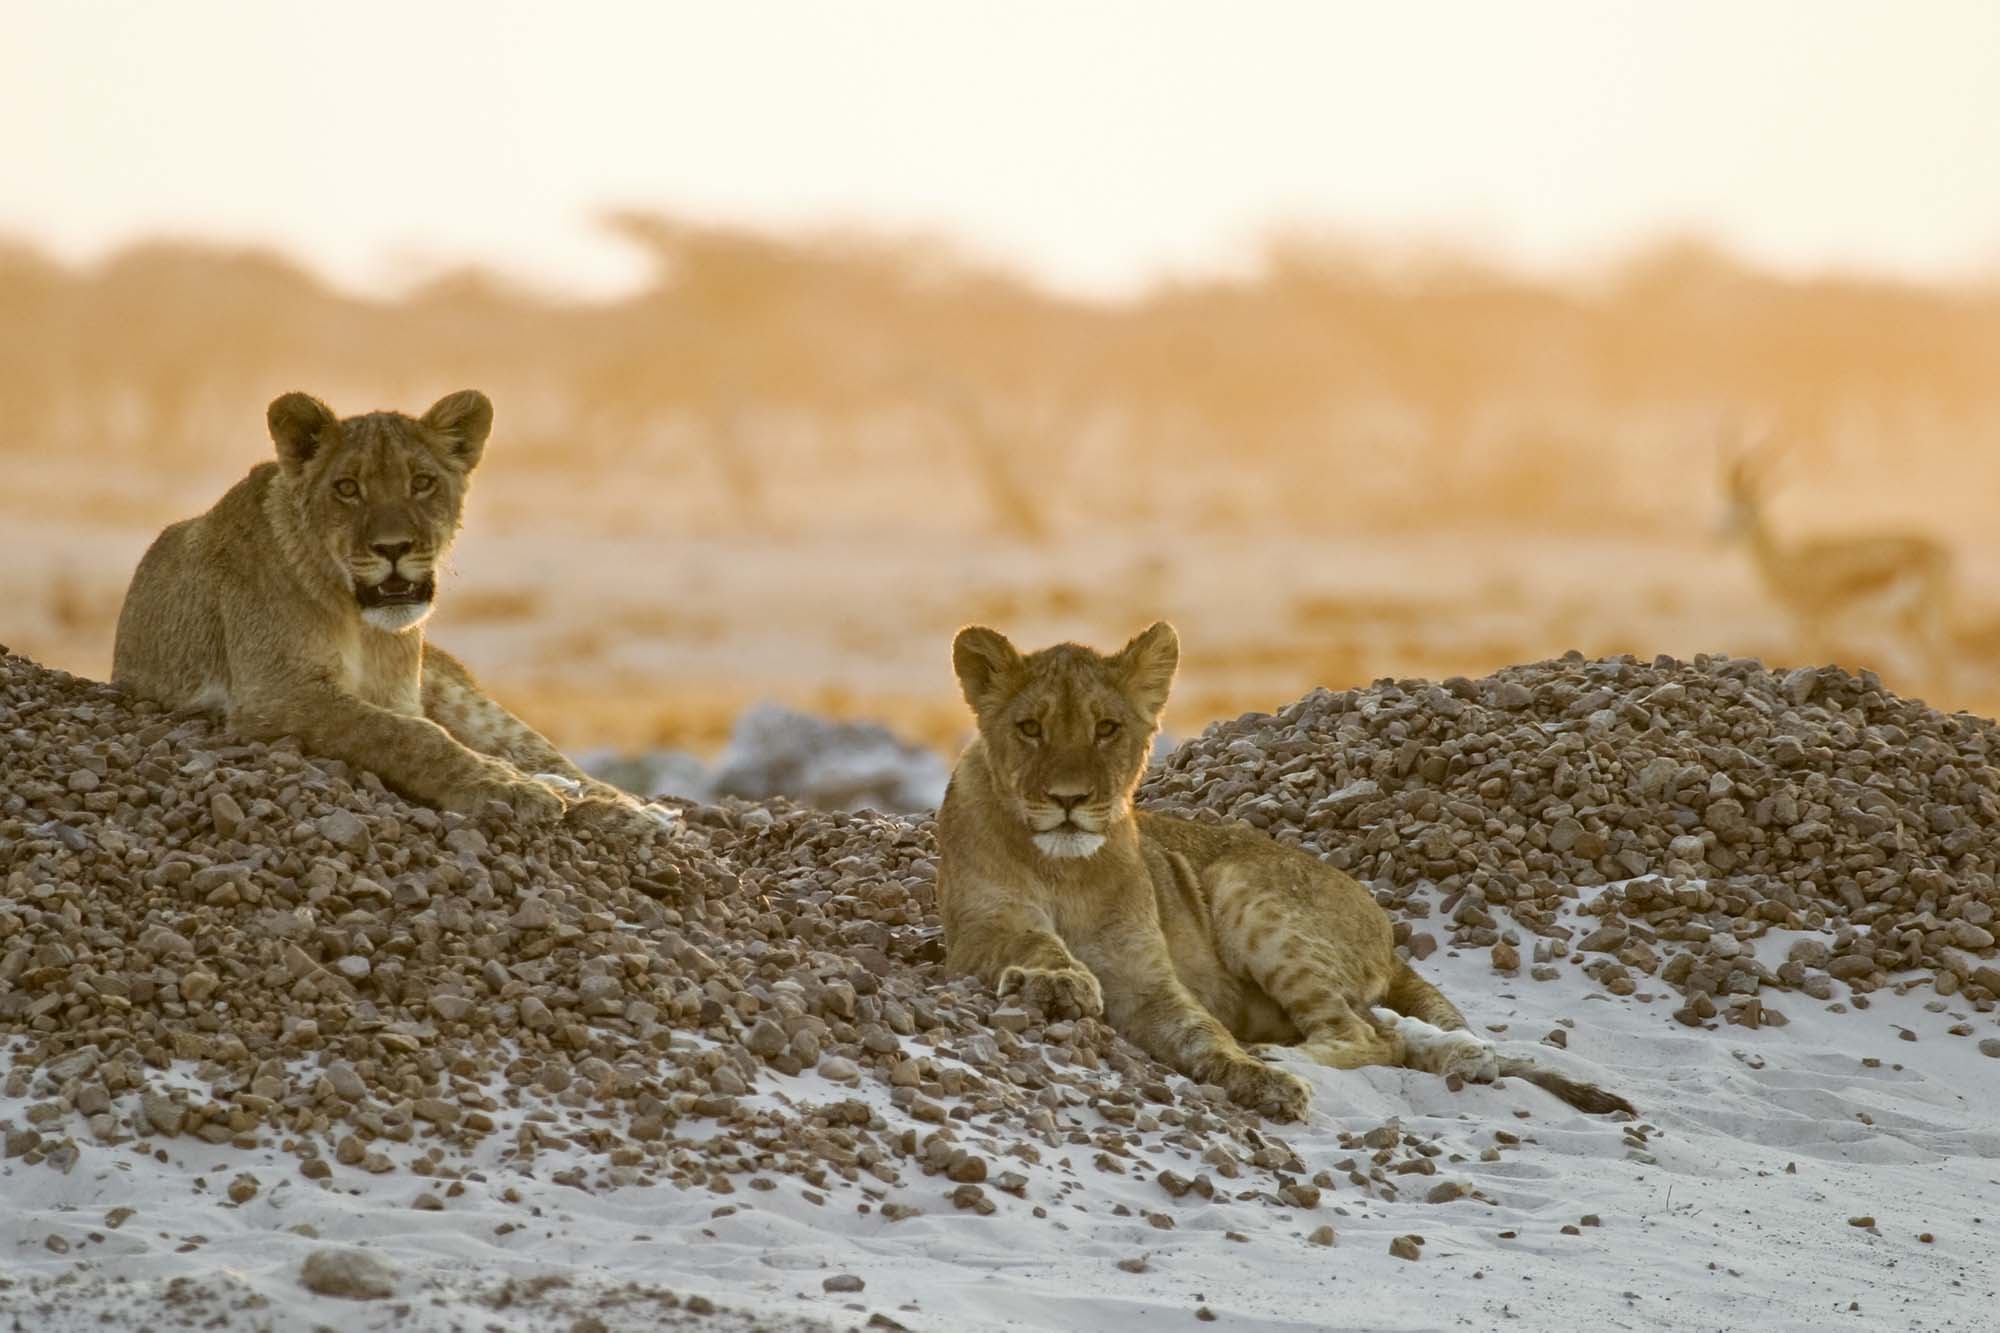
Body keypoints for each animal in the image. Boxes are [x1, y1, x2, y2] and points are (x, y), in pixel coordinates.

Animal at [112, 390, 665, 835]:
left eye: (421, 482)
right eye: (347, 488)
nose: (393, 547)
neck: (363, 624)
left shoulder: (398, 696)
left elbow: (416, 731)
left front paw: (529, 785)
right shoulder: (276, 694)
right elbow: (407, 736)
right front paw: (507, 787)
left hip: (464, 697)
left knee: (548, 757)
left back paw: (628, 809)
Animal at [937, 622, 1634, 1121]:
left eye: (1106, 728)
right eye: (1030, 728)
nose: (1069, 800)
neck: (1066, 871)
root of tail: (1385, 929)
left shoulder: (1148, 980)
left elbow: (1201, 1033)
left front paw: (1263, 1080)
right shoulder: (978, 928)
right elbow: (1031, 940)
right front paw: (1057, 982)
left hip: (1247, 893)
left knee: (1367, 1033)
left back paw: (1284, 1054)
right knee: (1392, 1033)